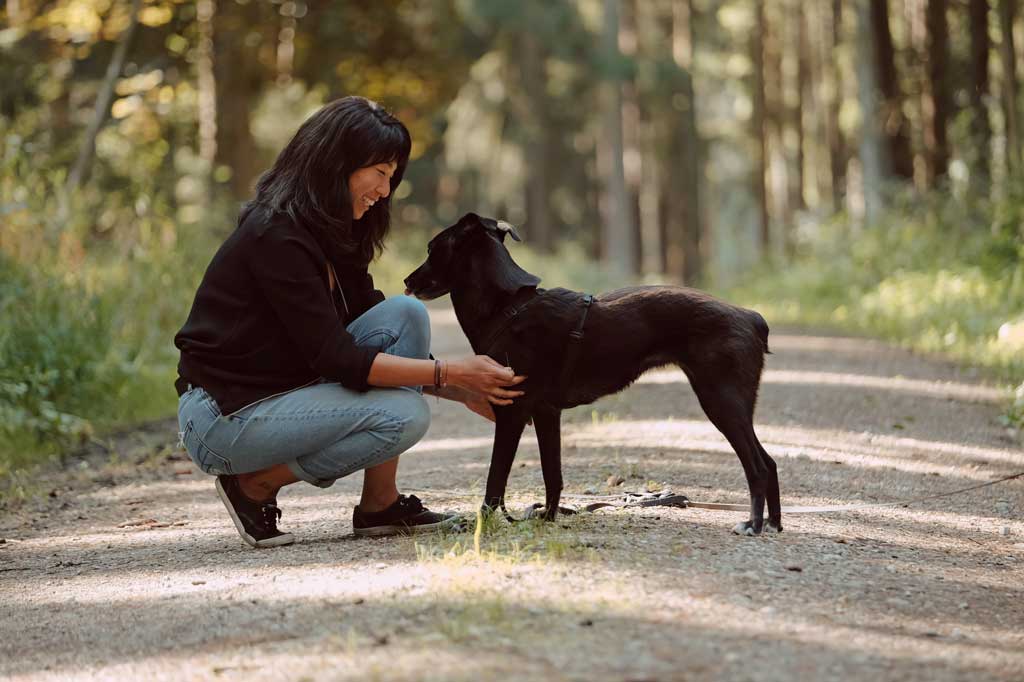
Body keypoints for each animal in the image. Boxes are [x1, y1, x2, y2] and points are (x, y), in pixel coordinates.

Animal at [403, 210, 778, 532]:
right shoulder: (546, 413)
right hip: (731, 404)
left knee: (758, 466)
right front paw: (547, 518)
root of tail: (751, 317)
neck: (509, 309)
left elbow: (495, 481)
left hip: (721, 401)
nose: (406, 279)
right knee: (770, 462)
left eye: (431, 248)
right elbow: (552, 475)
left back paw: (754, 525)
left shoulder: (513, 414)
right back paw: (774, 524)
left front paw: (480, 524)